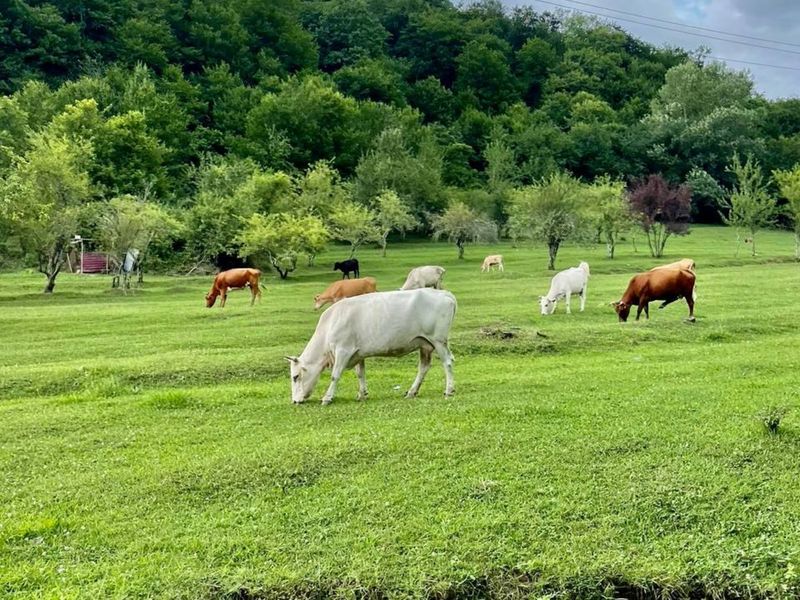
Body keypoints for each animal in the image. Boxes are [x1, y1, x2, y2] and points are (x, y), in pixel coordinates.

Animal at [286, 289, 457, 405]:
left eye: (295, 377)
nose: (295, 401)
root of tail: (445, 294)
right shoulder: (357, 353)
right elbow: (360, 373)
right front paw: (362, 394)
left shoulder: (343, 350)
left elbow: (335, 375)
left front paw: (327, 398)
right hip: (425, 344)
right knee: (424, 367)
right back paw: (412, 391)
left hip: (438, 340)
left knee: (447, 362)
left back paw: (449, 390)